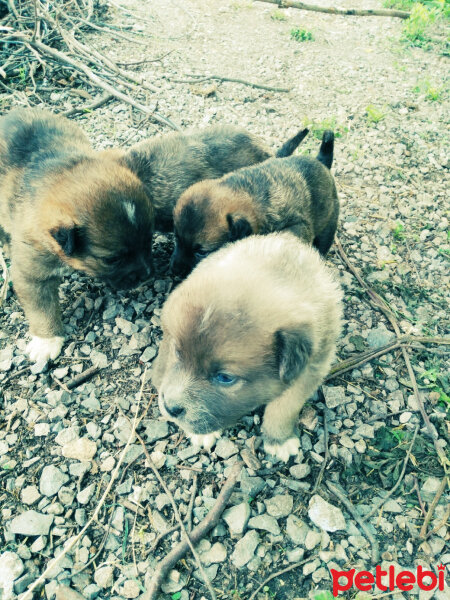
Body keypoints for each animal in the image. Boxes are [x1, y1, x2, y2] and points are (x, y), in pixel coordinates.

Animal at [0, 108, 154, 364]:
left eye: (148, 242)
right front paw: (47, 340)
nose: (146, 275)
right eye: (112, 259)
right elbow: (42, 308)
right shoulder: (32, 272)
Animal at [152, 232, 342, 462]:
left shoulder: (312, 368)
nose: (170, 408)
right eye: (178, 353)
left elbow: (284, 407)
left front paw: (278, 439)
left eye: (225, 377)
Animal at [172, 130, 338, 276]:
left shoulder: (299, 224)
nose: (174, 271)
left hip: (327, 229)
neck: (248, 193)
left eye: (201, 252)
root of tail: (321, 162)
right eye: (177, 239)